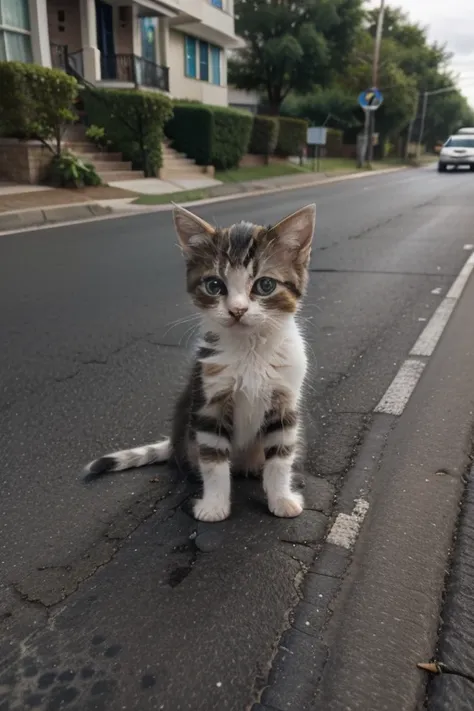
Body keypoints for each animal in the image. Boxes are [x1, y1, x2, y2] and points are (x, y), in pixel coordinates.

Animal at [85, 202, 314, 524]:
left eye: (265, 285)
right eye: (214, 285)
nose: (237, 310)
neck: (250, 352)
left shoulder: (284, 400)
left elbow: (281, 457)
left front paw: (281, 498)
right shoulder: (209, 401)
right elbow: (213, 460)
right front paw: (214, 506)